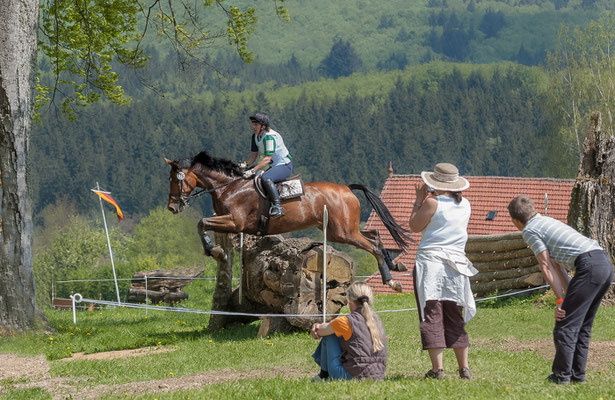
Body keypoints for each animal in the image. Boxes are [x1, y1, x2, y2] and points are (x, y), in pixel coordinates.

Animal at [166, 152, 412, 292]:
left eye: (174, 180)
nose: (172, 207)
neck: (230, 187)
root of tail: (346, 189)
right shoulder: (230, 223)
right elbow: (203, 223)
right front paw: (216, 250)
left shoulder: (235, 222)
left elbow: (201, 222)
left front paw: (215, 250)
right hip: (341, 230)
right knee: (376, 236)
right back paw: (395, 265)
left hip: (343, 232)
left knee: (372, 245)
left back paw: (391, 281)